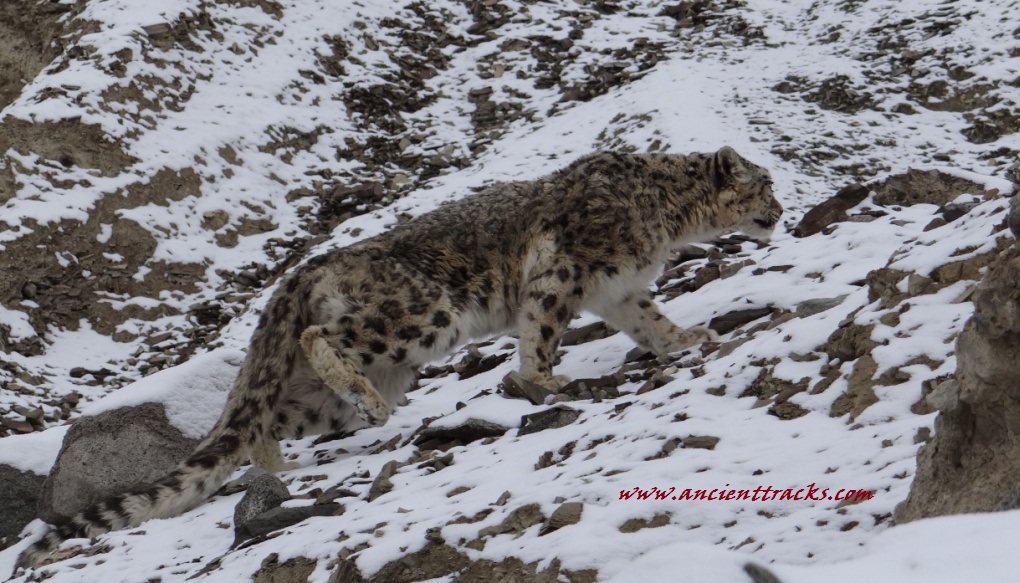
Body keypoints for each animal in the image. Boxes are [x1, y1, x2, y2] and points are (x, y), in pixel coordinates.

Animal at [16, 146, 781, 571]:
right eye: (764, 182)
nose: (780, 207)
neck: (667, 219)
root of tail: (306, 267)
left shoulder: (619, 290)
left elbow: (651, 320)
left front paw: (689, 338)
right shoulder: (563, 273)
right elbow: (540, 329)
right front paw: (542, 377)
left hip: (328, 388)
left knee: (262, 420)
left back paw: (285, 464)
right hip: (420, 318)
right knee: (319, 341)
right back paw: (369, 405)